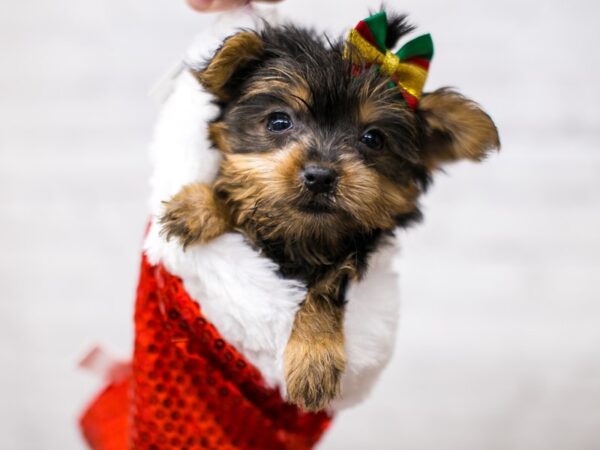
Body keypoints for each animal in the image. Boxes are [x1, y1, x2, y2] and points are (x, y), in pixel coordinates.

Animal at [158, 11, 496, 412]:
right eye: (279, 121)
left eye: (373, 139)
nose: (320, 176)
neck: (301, 239)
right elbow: (240, 201)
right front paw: (198, 207)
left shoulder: (353, 255)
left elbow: (324, 289)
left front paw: (313, 360)